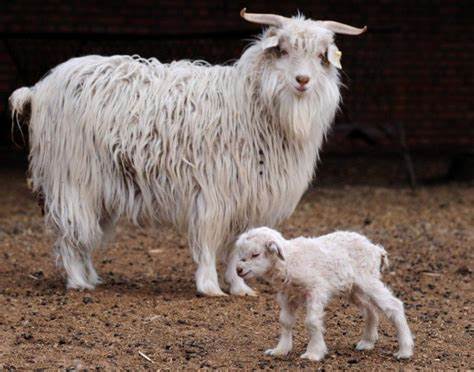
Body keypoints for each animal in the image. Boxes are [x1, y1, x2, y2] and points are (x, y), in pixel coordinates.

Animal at [10, 10, 366, 296]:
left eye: (321, 55)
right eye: (282, 50)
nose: (302, 80)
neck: (251, 103)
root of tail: (39, 89)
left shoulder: (246, 196)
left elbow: (238, 247)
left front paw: (239, 287)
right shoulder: (214, 192)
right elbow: (209, 241)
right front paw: (209, 287)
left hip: (98, 186)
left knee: (82, 231)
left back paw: (90, 277)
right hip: (71, 177)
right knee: (69, 231)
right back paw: (78, 282)